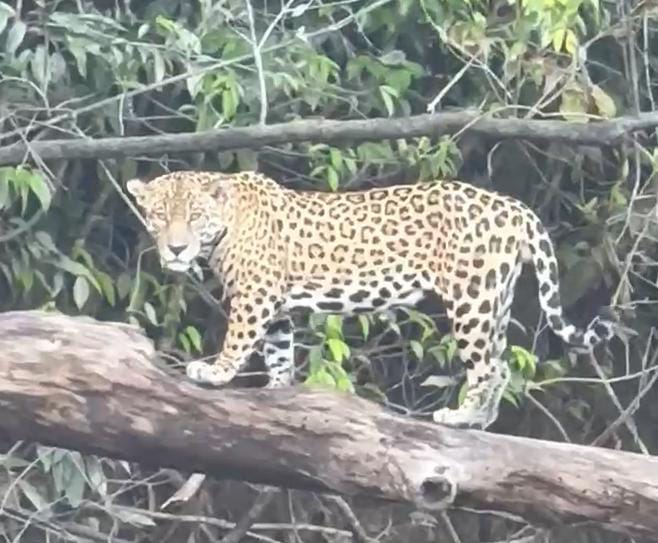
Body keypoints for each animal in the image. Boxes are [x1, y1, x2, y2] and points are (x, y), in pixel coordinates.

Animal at [126, 170, 616, 429]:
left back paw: (461, 417)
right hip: (495, 296)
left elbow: (240, 337)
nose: (175, 249)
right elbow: (279, 349)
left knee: (489, 366)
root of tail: (513, 206)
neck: (226, 224)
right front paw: (278, 389)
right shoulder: (278, 303)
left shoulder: (255, 293)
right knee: (501, 363)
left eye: (194, 217)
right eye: (157, 216)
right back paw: (481, 418)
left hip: (471, 299)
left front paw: (216, 371)